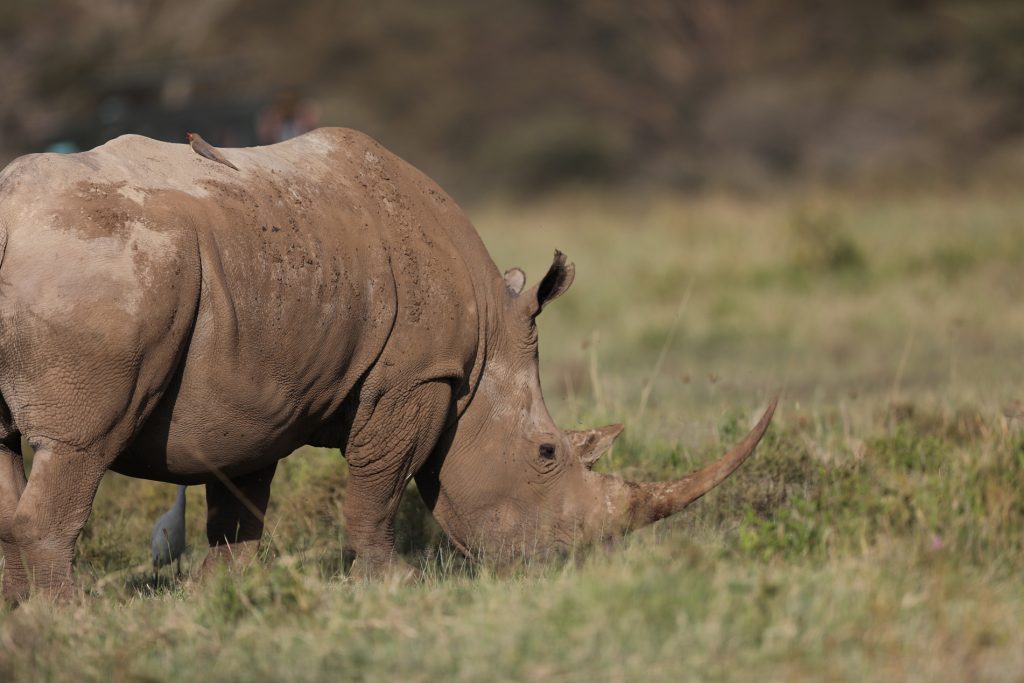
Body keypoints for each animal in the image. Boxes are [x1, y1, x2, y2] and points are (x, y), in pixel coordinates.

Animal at [0, 128, 775, 601]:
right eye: (548, 452)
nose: (578, 565)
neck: (489, 341)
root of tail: (14, 214)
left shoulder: (258, 382)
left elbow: (240, 498)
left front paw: (227, 593)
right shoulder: (416, 375)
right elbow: (378, 485)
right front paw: (394, 582)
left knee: (11, 446)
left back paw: (23, 616)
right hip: (103, 267)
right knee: (80, 445)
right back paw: (68, 616)